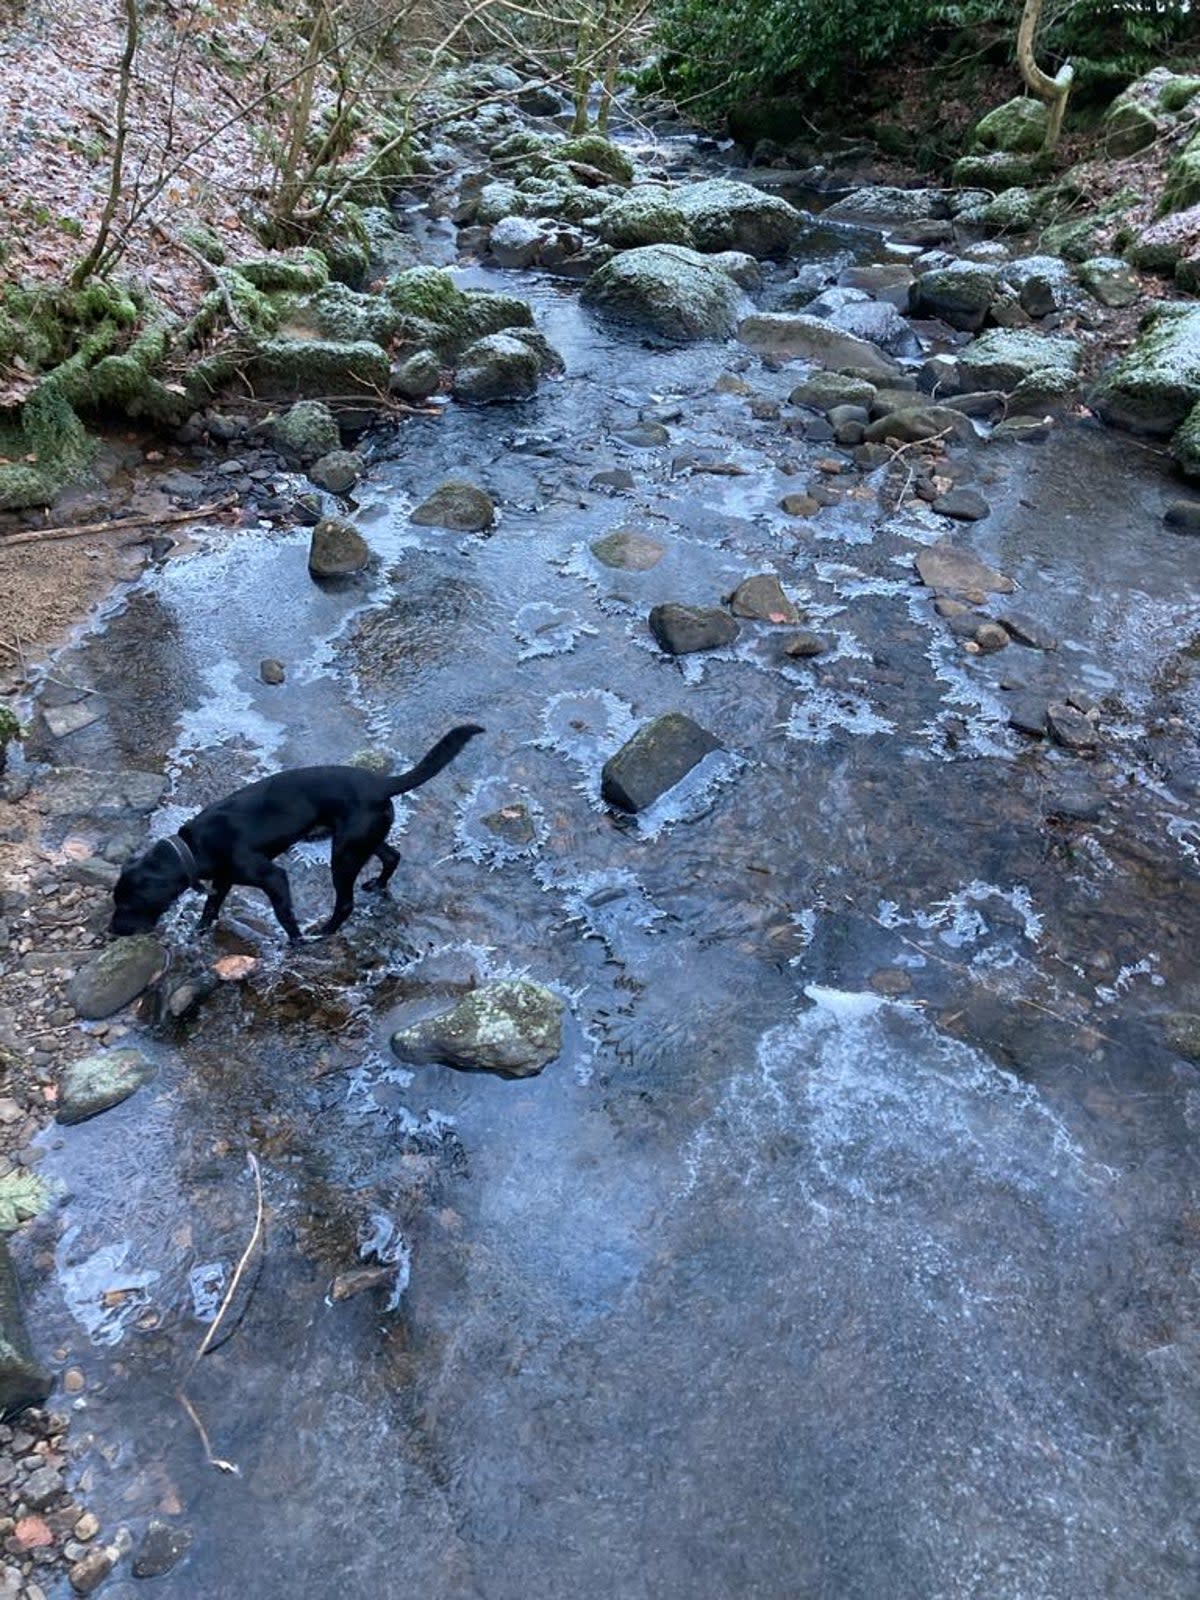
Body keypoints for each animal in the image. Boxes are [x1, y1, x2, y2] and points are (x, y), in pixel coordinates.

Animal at [109, 732, 483, 940]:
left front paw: (296, 943)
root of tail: (382, 783)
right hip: (361, 841)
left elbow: (284, 915)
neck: (192, 847)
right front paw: (198, 933)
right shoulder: (223, 880)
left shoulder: (272, 877)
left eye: (128, 904)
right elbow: (210, 908)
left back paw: (325, 933)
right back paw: (377, 885)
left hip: (344, 854)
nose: (112, 931)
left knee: (345, 903)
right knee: (392, 857)